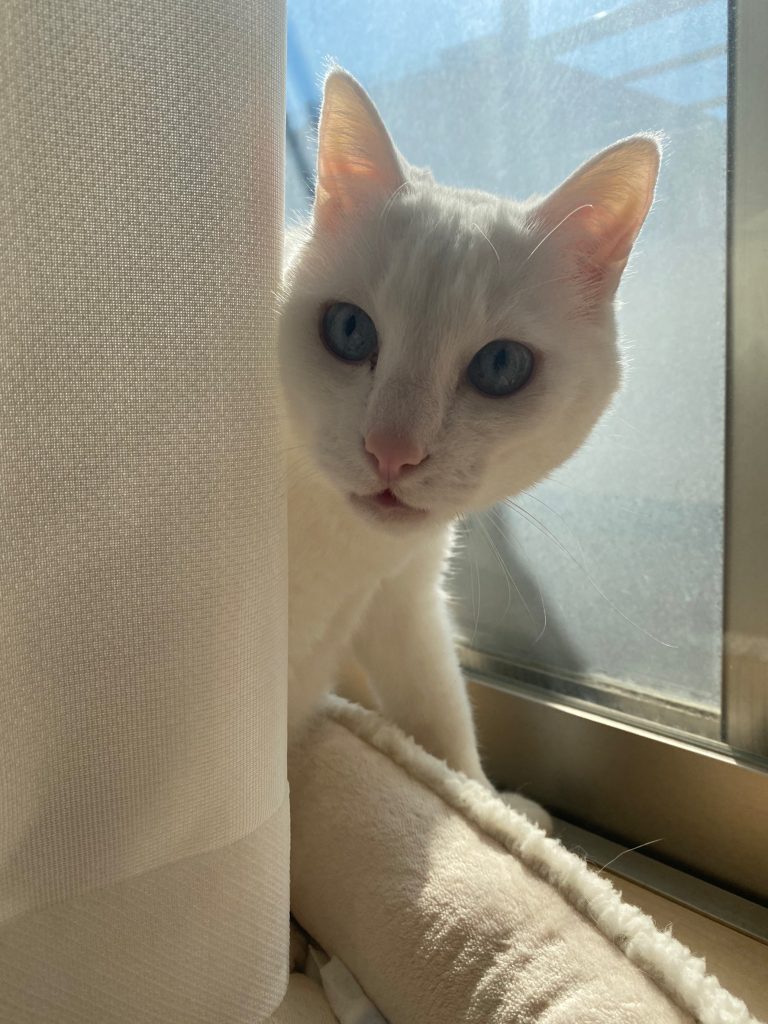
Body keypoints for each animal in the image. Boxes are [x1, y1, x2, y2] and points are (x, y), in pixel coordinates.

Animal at [279, 68, 660, 828]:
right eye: (348, 330)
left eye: (501, 367)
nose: (391, 450)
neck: (342, 550)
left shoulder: (404, 601)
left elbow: (441, 716)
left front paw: (493, 812)